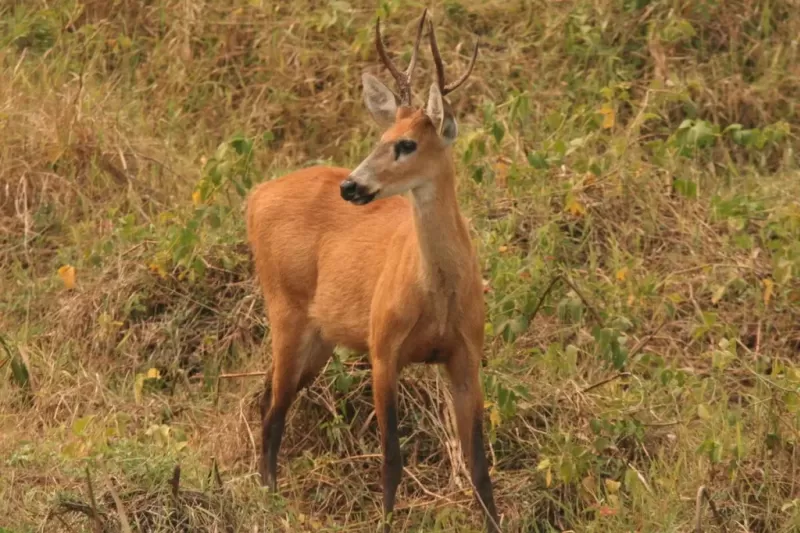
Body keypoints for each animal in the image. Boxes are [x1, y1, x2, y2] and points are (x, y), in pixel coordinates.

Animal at [245, 9, 500, 532]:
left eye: (406, 143)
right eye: (379, 138)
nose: (352, 186)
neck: (438, 295)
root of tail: (255, 197)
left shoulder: (467, 356)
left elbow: (478, 464)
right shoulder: (384, 347)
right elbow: (391, 457)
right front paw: (385, 520)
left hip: (320, 338)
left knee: (268, 401)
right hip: (285, 309)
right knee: (273, 409)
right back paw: (270, 498)